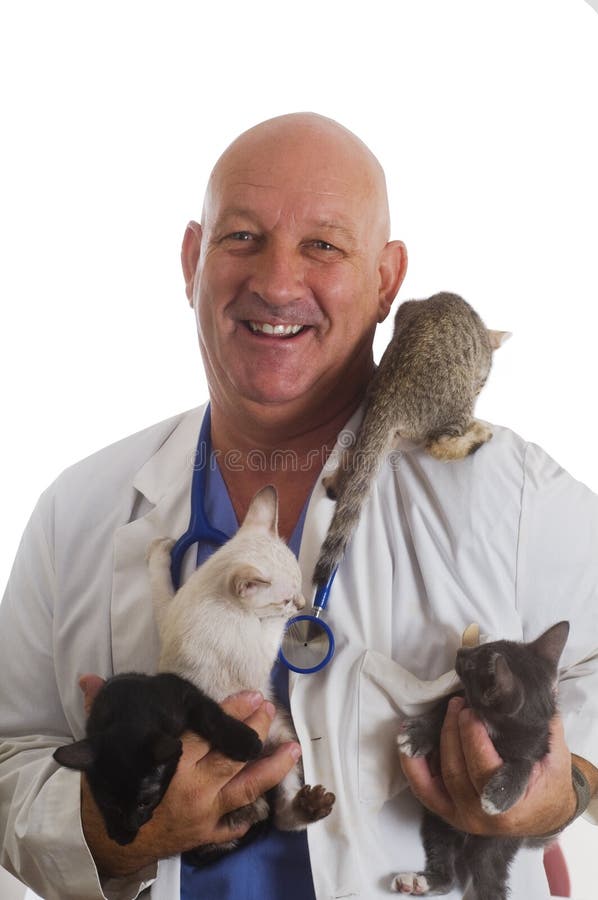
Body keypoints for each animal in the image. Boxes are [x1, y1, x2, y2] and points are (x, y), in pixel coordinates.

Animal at [54, 672, 262, 848]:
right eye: (112, 805)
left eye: (145, 803)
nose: (130, 825)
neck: (129, 712)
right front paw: (119, 830)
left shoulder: (183, 692)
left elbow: (210, 716)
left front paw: (244, 740)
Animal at [314, 294, 510, 592]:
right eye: (482, 384)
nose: (479, 389)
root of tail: (390, 398)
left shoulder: (406, 307)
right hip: (455, 402)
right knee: (438, 444)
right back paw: (477, 436)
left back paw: (339, 479)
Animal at [394, 624, 572, 896]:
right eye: (485, 646)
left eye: (471, 665)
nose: (461, 651)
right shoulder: (459, 702)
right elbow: (443, 708)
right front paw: (417, 735)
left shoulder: (537, 747)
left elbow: (525, 764)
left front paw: (501, 793)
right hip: (438, 820)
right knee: (446, 864)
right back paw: (421, 881)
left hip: (495, 843)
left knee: (489, 879)